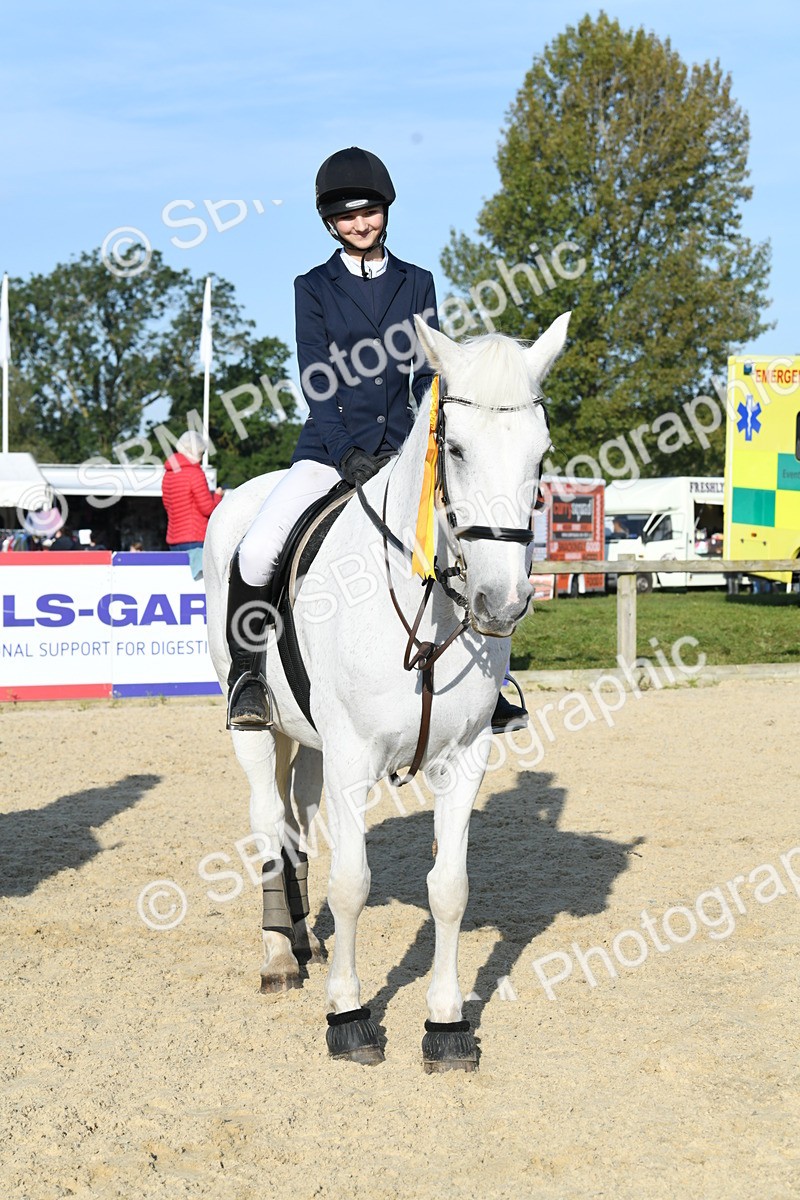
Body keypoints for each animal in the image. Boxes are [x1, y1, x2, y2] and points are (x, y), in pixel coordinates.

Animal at [203, 312, 570, 1070]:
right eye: (454, 449)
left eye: (541, 454)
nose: (502, 602)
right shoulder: (353, 758)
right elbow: (352, 884)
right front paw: (348, 1015)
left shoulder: (463, 759)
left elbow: (450, 889)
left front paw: (447, 1023)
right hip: (257, 727)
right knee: (267, 820)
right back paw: (278, 957)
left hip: (309, 742)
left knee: (296, 822)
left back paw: (302, 941)